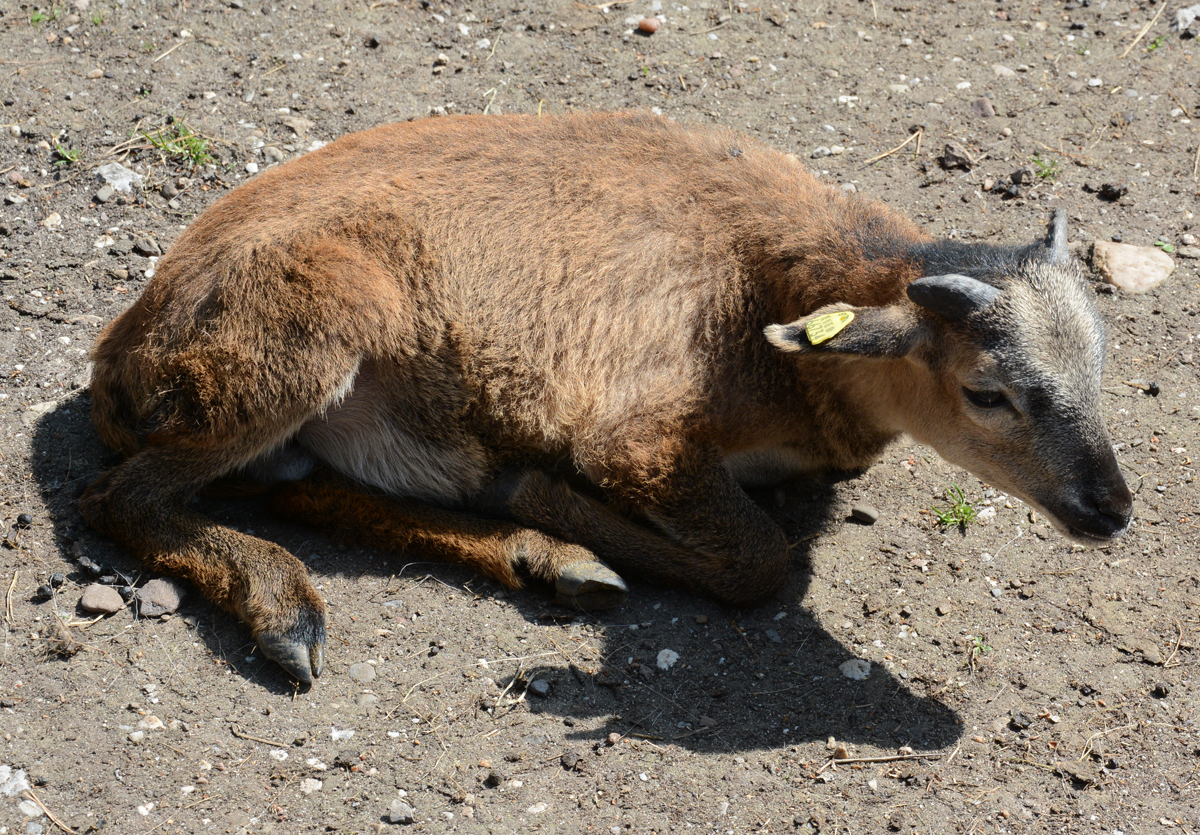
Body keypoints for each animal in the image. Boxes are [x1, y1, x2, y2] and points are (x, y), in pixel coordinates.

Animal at [77, 110, 1132, 686]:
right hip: (299, 338)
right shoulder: (638, 440)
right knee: (124, 496)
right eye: (987, 392)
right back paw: (290, 614)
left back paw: (546, 559)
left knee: (294, 487)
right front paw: (546, 495)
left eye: (1099, 363)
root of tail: (117, 359)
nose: (1111, 508)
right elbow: (760, 561)